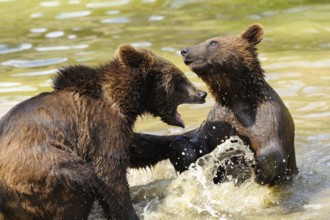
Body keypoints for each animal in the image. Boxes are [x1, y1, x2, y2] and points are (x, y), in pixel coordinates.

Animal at [0, 43, 206, 219]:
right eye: (179, 78)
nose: (202, 94)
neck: (124, 101)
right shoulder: (100, 125)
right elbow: (110, 172)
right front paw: (129, 214)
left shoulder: (120, 129)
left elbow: (138, 147)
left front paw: (191, 134)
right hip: (44, 171)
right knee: (80, 183)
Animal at [130, 24, 300, 186]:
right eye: (209, 40)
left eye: (213, 42)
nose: (185, 50)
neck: (236, 97)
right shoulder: (218, 119)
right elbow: (196, 142)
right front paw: (184, 153)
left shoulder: (266, 117)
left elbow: (271, 149)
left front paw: (254, 164)